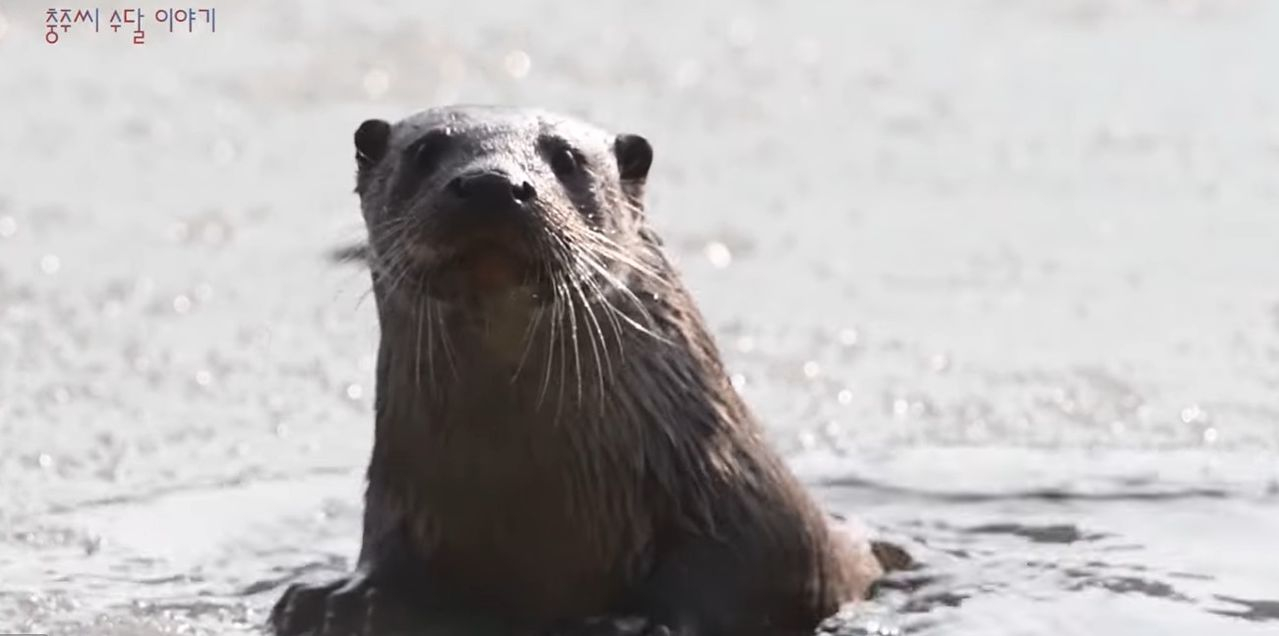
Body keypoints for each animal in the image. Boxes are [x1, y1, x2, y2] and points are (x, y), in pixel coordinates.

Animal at [270, 105, 893, 636]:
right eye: (425, 150)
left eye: (566, 157)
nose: (492, 184)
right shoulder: (400, 498)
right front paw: (337, 599)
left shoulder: (755, 526)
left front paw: (634, 623)